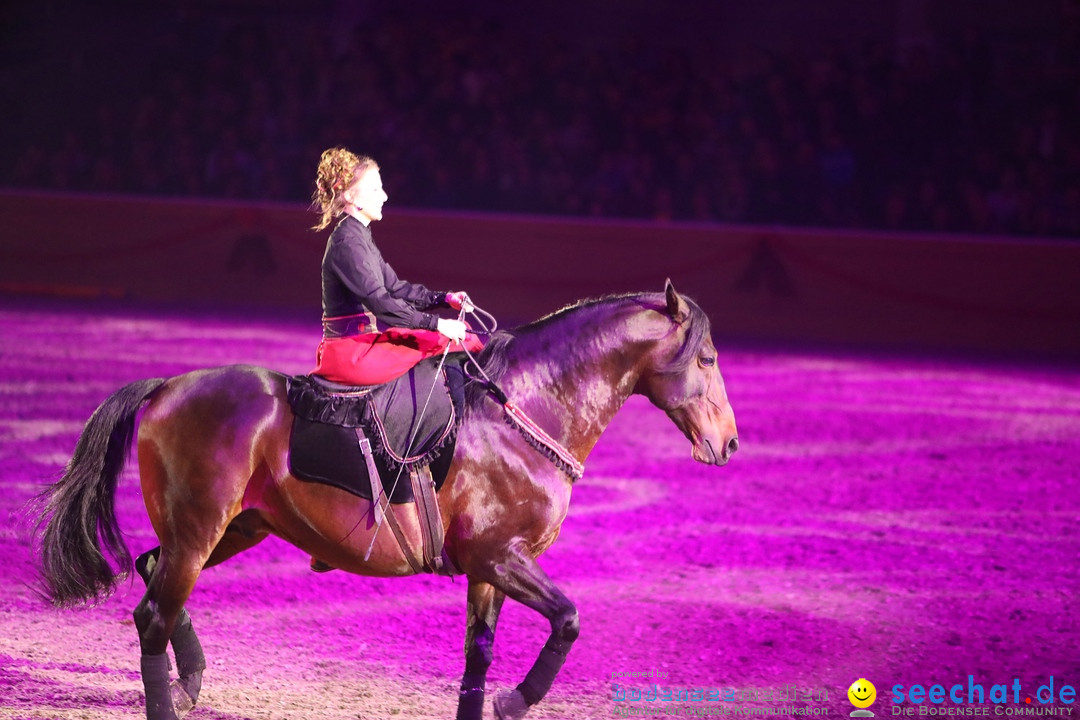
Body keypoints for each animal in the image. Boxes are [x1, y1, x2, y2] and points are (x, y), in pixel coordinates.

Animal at [35, 280, 743, 720]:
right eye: (707, 358)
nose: (729, 443)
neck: (523, 406)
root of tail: (167, 386)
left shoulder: (488, 568)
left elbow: (478, 656)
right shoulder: (499, 556)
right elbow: (568, 619)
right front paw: (516, 700)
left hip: (232, 529)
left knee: (153, 580)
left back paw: (191, 681)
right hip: (199, 531)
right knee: (154, 614)